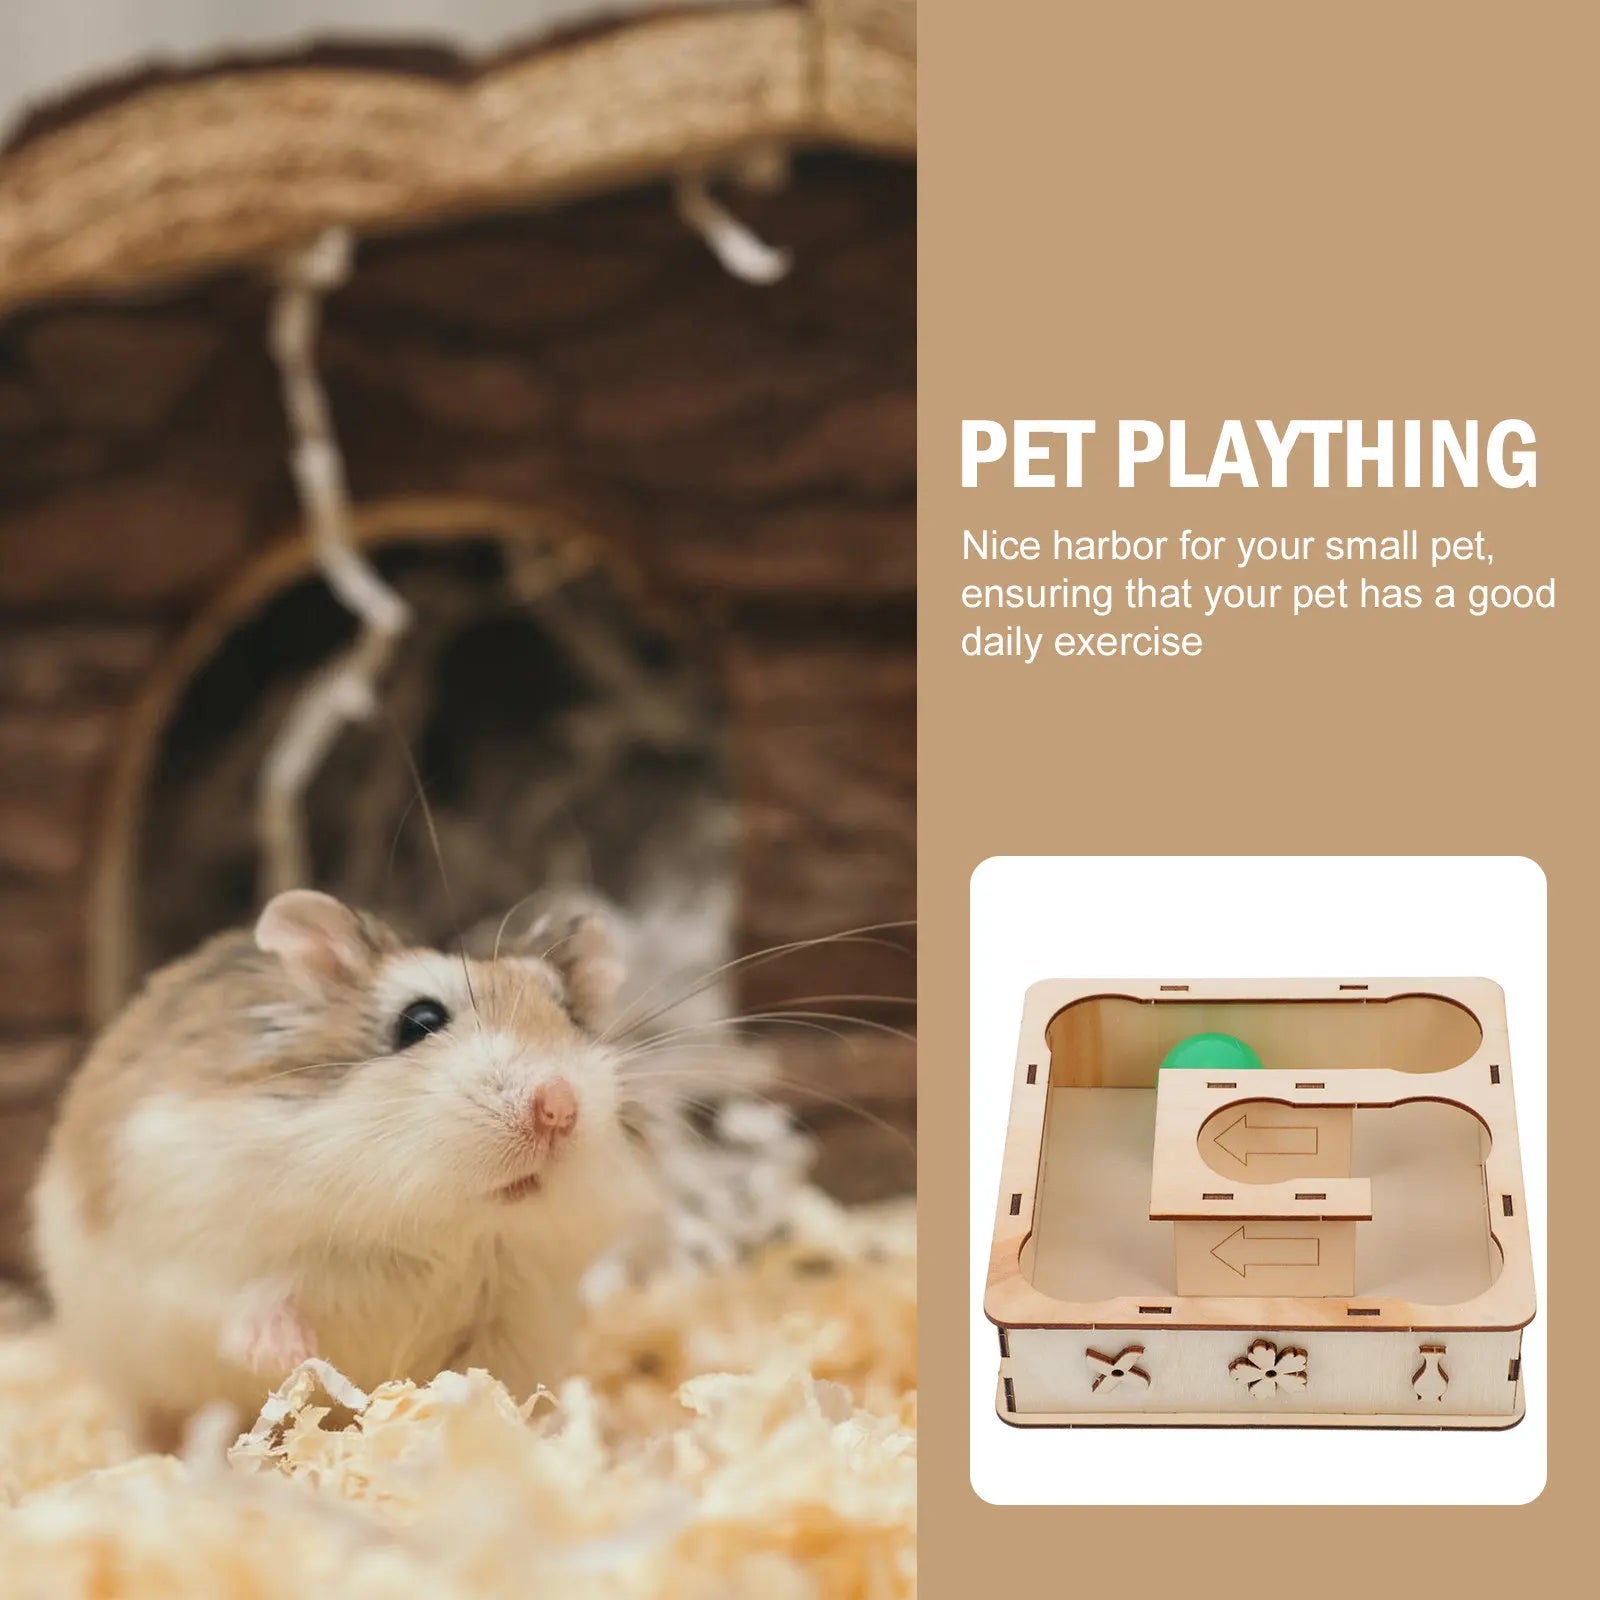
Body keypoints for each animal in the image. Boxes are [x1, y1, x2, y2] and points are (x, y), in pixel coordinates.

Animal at [32, 888, 656, 1448]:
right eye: (419, 1020)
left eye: (571, 1017)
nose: (559, 1107)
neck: (437, 1226)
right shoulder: (194, 1247)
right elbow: (242, 1303)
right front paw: (295, 1354)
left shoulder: (517, 1315)